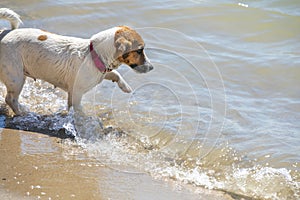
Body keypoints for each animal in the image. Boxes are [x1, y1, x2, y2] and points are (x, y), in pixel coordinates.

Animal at [0, 7, 154, 115]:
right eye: (140, 50)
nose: (152, 68)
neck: (94, 54)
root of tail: (5, 32)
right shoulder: (77, 95)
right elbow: (79, 110)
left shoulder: (100, 73)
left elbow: (115, 74)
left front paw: (125, 87)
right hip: (16, 78)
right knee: (10, 99)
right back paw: (21, 113)